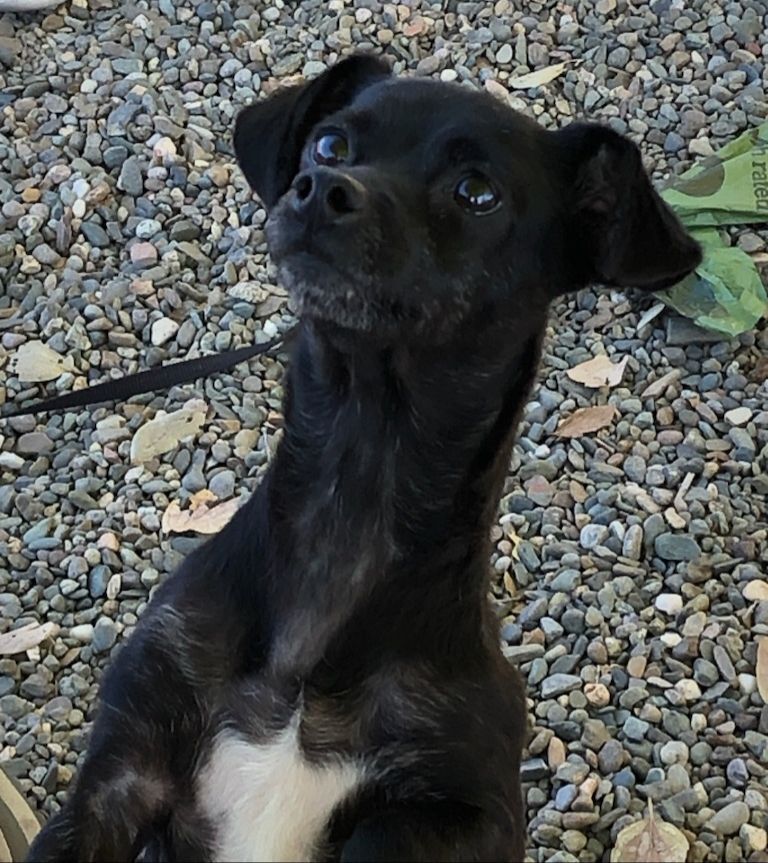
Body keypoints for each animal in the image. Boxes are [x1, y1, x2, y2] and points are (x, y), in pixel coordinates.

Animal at [28, 55, 704, 863]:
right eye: (330, 144)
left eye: (477, 192)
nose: (322, 189)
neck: (357, 480)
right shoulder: (123, 768)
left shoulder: (469, 805)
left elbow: (385, 831)